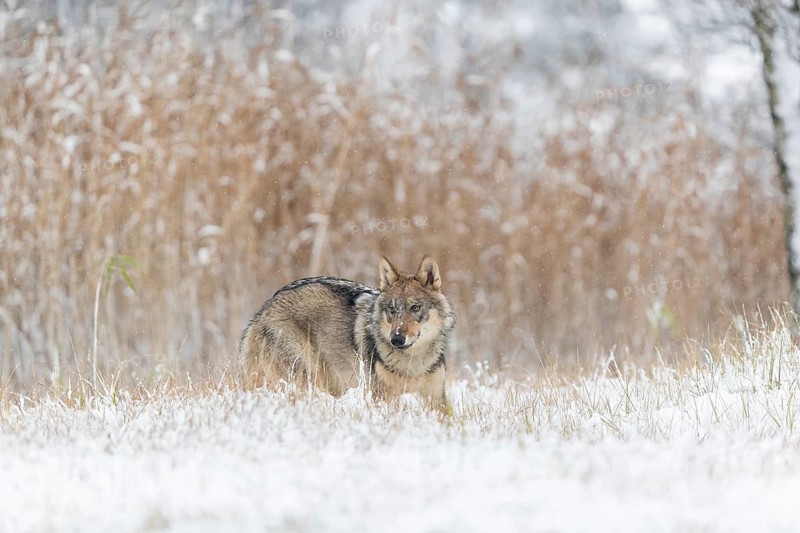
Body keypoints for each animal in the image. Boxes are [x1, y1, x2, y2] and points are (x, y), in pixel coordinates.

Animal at [238, 255, 455, 410]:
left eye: (415, 308)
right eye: (392, 310)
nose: (397, 339)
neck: (413, 362)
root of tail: (262, 311)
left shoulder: (436, 397)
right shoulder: (382, 397)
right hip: (305, 377)